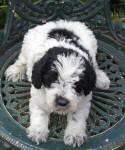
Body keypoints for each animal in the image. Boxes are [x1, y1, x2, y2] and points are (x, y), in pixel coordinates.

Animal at [5, 19, 110, 147]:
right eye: (51, 79)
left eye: (77, 84)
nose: (62, 102)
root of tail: (61, 22)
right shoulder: (38, 95)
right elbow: (40, 113)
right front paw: (38, 131)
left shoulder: (83, 100)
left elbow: (76, 116)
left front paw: (75, 134)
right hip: (27, 44)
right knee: (22, 59)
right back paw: (15, 70)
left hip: (92, 44)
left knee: (94, 65)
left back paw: (100, 78)